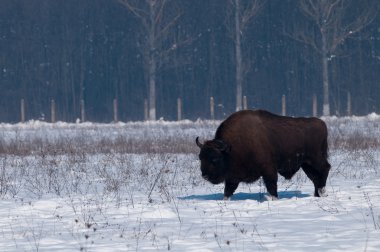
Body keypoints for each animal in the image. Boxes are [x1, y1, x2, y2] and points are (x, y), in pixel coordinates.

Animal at [196, 109, 330, 200]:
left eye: (214, 159)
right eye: (200, 158)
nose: (205, 175)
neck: (230, 149)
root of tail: (322, 124)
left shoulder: (268, 169)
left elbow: (271, 186)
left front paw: (274, 199)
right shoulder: (232, 177)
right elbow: (227, 191)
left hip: (315, 159)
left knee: (325, 169)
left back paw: (322, 193)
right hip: (306, 164)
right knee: (315, 177)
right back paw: (317, 195)